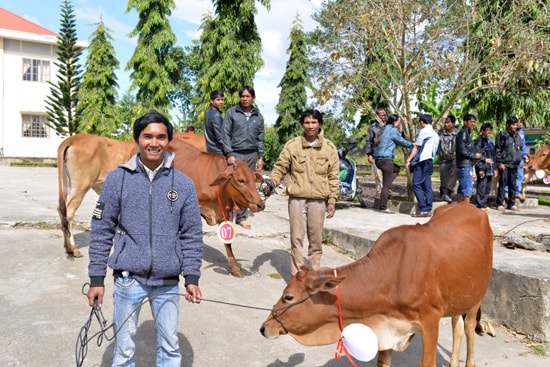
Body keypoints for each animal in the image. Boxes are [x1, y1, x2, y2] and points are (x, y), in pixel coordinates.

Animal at [262, 204, 496, 367]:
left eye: (288, 296)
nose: (264, 328)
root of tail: (475, 208)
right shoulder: (388, 330)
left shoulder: (431, 321)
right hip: (458, 297)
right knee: (457, 327)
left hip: (476, 296)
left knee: (468, 328)